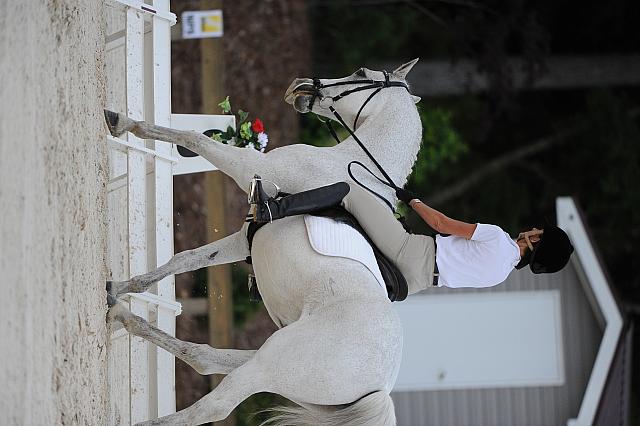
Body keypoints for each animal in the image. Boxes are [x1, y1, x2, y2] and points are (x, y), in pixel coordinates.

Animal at [105, 58, 424, 424]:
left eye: (360, 74)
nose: (300, 84)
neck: (346, 164)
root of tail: (379, 387)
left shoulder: (248, 165)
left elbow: (193, 137)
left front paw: (122, 122)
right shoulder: (244, 240)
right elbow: (186, 259)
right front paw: (119, 288)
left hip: (273, 365)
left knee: (213, 405)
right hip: (276, 366)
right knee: (206, 358)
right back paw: (122, 316)